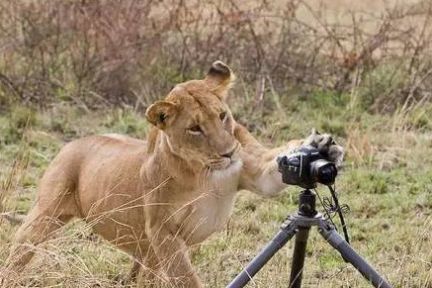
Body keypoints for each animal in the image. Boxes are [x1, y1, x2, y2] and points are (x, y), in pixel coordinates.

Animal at [1, 60, 342, 286]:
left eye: (222, 115)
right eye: (195, 128)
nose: (229, 153)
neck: (202, 172)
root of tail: (73, 142)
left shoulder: (257, 173)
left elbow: (275, 171)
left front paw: (321, 145)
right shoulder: (163, 232)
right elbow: (186, 278)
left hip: (144, 254)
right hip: (44, 215)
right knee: (19, 250)